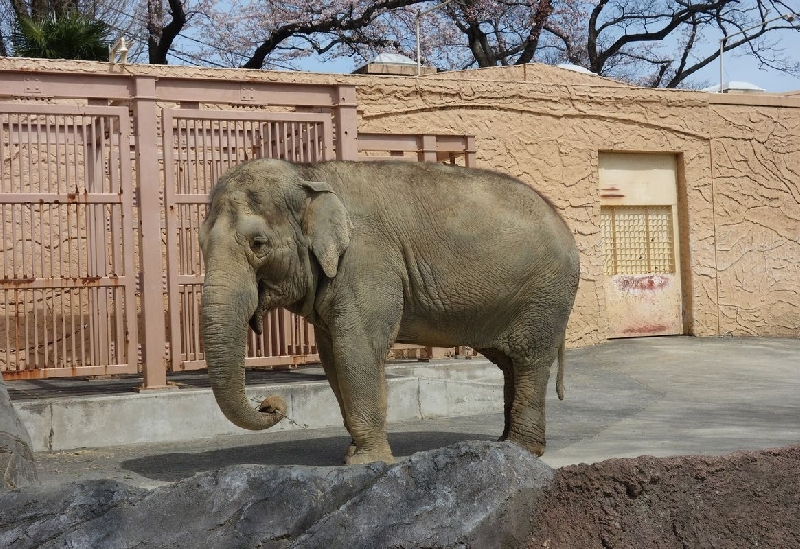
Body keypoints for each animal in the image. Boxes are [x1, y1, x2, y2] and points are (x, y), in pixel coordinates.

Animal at [197, 156, 580, 464]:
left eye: (258, 244)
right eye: (200, 244)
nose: (270, 404)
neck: (309, 174)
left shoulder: (368, 262)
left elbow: (358, 350)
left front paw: (365, 462)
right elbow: (332, 356)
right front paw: (354, 453)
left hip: (546, 294)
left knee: (530, 361)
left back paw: (521, 450)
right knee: (509, 363)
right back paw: (504, 445)